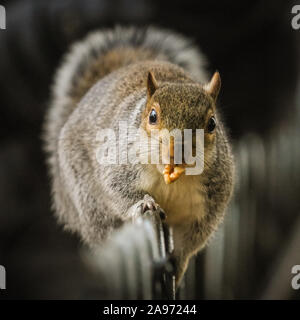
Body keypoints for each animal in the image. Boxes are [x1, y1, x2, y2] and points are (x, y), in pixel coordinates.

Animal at [43, 26, 234, 284]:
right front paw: (143, 203)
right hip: (87, 200)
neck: (171, 179)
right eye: (152, 116)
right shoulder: (117, 159)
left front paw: (178, 262)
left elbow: (193, 237)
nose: (177, 151)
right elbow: (117, 188)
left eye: (212, 123)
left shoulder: (210, 199)